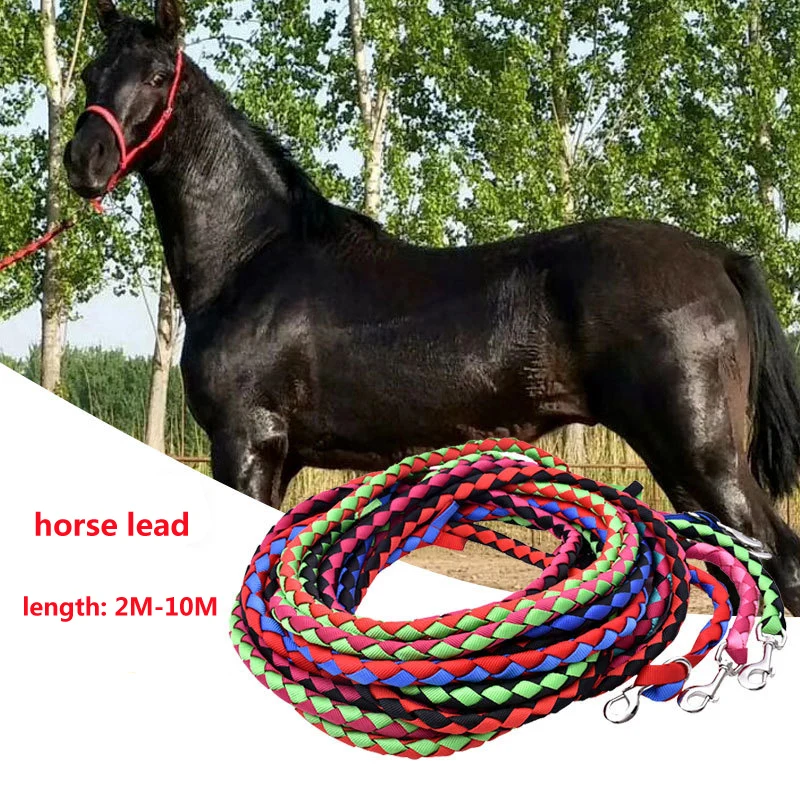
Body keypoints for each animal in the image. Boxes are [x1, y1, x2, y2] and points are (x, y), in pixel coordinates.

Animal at [64, 0, 800, 614]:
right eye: (93, 73)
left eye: (158, 75)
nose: (83, 159)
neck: (255, 257)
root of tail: (719, 258)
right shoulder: (282, 455)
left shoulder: (247, 442)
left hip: (701, 458)